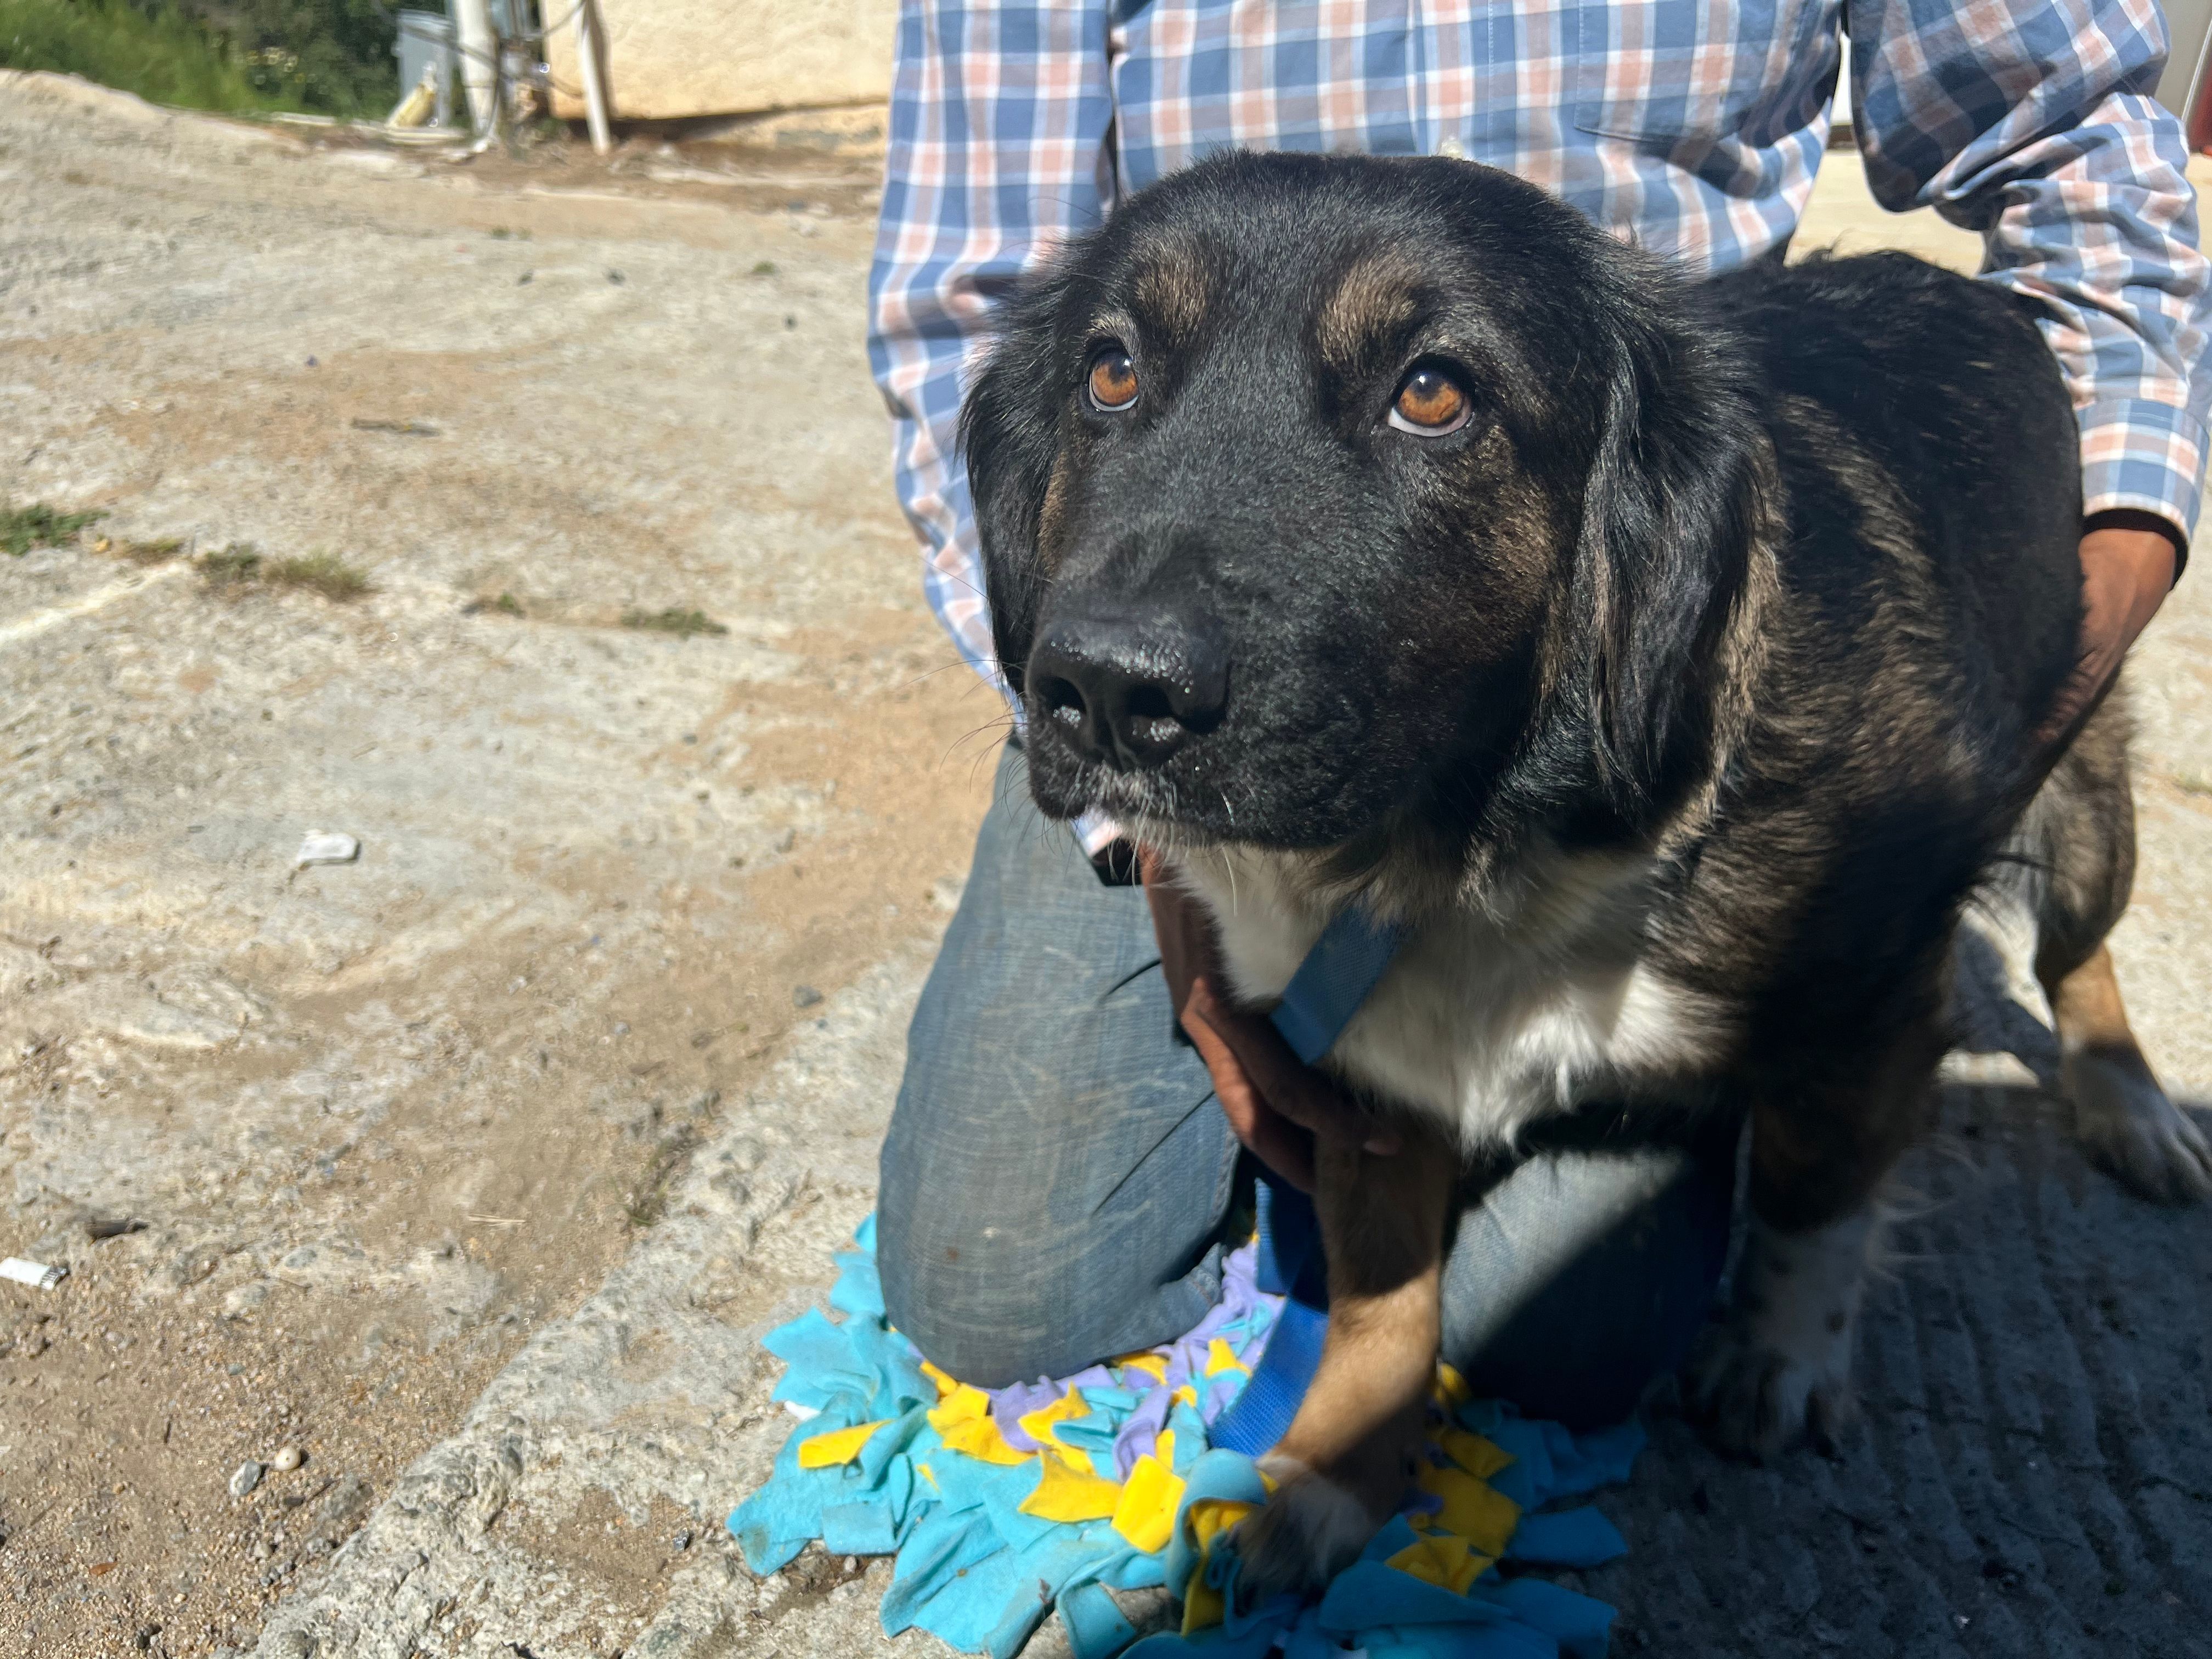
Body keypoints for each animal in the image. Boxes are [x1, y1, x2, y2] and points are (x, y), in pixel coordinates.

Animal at [960, 149, 2203, 1601]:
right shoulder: (1372, 1084)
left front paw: (1780, 1350)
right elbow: (1383, 1309)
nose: (1105, 689)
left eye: (1434, 392)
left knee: (2080, 951)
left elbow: (1816, 1189)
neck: (1464, 849)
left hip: (2083, 793)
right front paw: (1332, 1477)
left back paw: (2130, 1101)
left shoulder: (1878, 999)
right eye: (1109, 371)